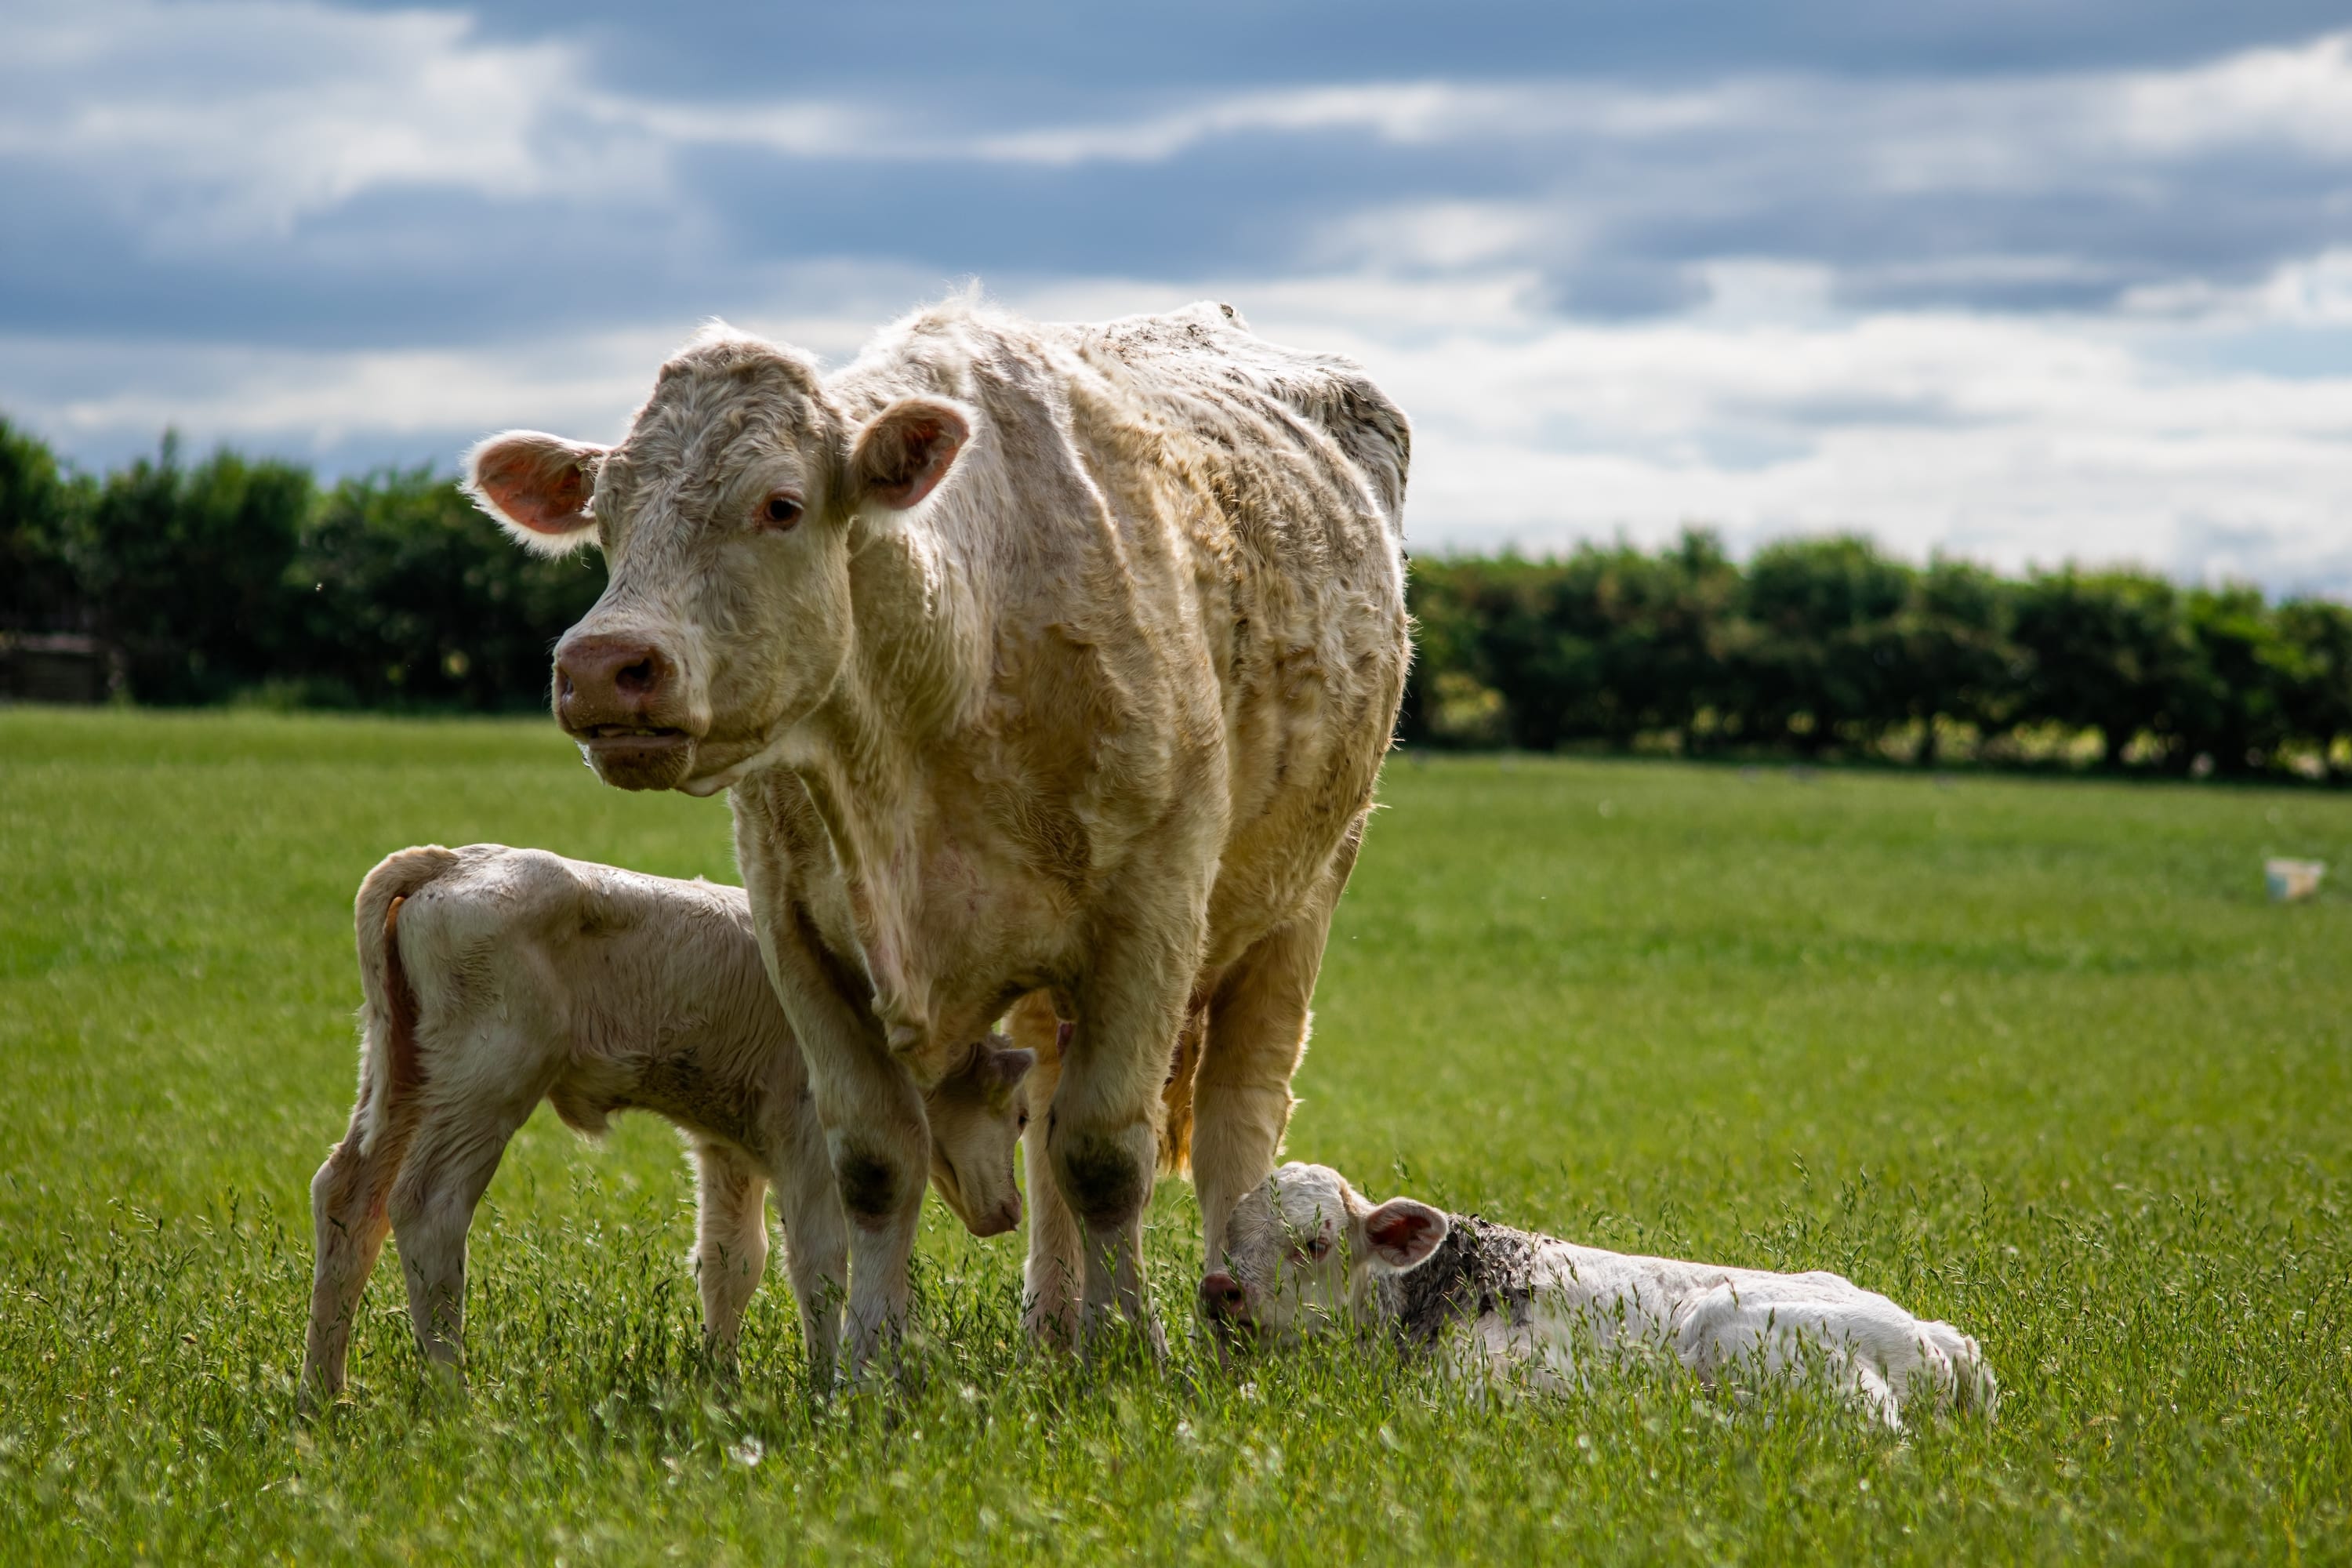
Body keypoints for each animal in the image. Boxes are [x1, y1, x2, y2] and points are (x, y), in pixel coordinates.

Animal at [299, 845, 1034, 1405]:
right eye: (1022, 1115)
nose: (1012, 1211)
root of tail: (457, 860)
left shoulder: (727, 1149)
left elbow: (731, 1260)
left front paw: (722, 1382)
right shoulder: (811, 1147)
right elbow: (819, 1261)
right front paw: (824, 1384)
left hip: (401, 1077)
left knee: (350, 1198)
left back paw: (323, 1395)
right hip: (483, 1084)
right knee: (429, 1208)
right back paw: (455, 1395)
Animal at [464, 298, 1411, 1368]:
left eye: (781, 504)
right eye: (608, 513)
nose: (603, 663)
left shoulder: (1153, 914)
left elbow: (1105, 1155)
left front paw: (1131, 1349)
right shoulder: (796, 931)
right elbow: (880, 1159)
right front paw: (872, 1362)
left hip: (1302, 896)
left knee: (1237, 1121)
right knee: (1047, 1114)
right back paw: (1051, 1325)